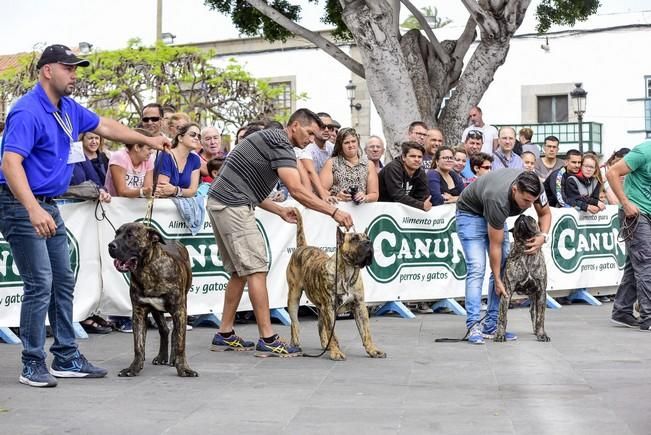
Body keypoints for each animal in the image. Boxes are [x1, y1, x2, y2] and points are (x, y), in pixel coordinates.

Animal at [109, 223, 199, 376]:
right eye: (116, 234)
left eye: (130, 236)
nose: (110, 245)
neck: (147, 271)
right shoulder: (139, 312)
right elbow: (138, 344)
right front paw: (134, 368)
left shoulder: (179, 310)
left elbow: (180, 342)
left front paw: (183, 368)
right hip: (156, 311)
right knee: (164, 330)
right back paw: (162, 356)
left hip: (182, 303)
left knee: (174, 333)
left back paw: (173, 358)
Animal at [286, 211, 388, 362]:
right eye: (354, 239)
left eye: (368, 238)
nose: (369, 243)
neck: (348, 272)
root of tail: (302, 247)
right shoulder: (329, 307)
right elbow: (332, 333)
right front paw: (336, 352)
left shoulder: (359, 306)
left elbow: (366, 332)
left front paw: (373, 350)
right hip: (294, 296)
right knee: (294, 323)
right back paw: (295, 344)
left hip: (320, 307)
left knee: (320, 324)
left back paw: (325, 344)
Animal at [500, 215, 552, 344]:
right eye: (516, 220)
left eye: (531, 218)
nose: (522, 216)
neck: (526, 251)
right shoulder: (507, 291)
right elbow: (503, 316)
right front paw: (500, 335)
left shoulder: (541, 292)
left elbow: (540, 317)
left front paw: (542, 335)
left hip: (534, 297)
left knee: (533, 312)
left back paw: (536, 330)